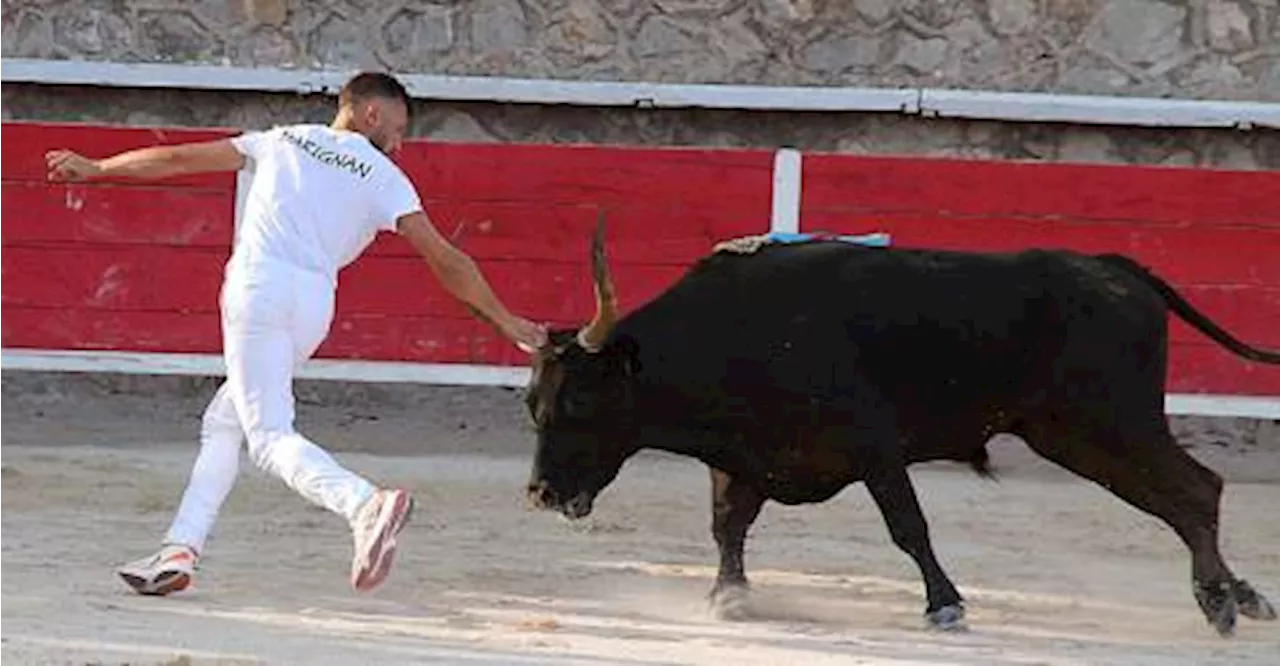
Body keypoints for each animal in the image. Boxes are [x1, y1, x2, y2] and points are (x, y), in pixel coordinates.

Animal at [522, 219, 1280, 635]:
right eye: (532, 403)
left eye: (580, 402)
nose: (539, 494)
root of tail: (1115, 268)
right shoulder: (742, 460)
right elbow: (726, 526)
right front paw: (727, 598)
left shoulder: (875, 447)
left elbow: (907, 526)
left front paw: (945, 606)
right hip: (1079, 434)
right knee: (1189, 496)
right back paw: (1239, 597)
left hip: (1111, 423)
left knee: (1197, 490)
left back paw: (1220, 604)